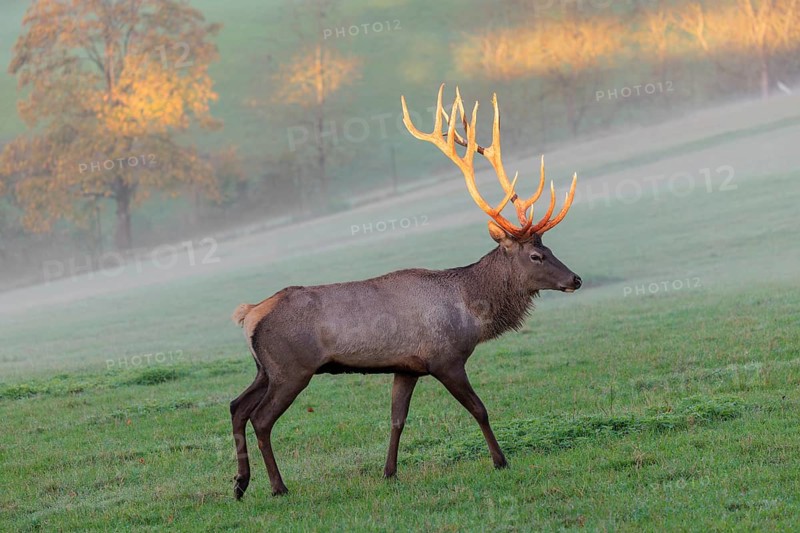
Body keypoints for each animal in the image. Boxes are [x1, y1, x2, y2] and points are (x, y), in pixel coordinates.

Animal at [229, 84, 581, 499]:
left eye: (550, 248)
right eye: (536, 254)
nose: (575, 279)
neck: (471, 312)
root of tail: (249, 314)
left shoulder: (407, 367)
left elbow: (397, 419)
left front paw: (389, 471)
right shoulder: (445, 359)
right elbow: (479, 408)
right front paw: (500, 460)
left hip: (264, 368)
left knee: (236, 406)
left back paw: (240, 483)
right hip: (290, 369)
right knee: (261, 418)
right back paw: (277, 486)